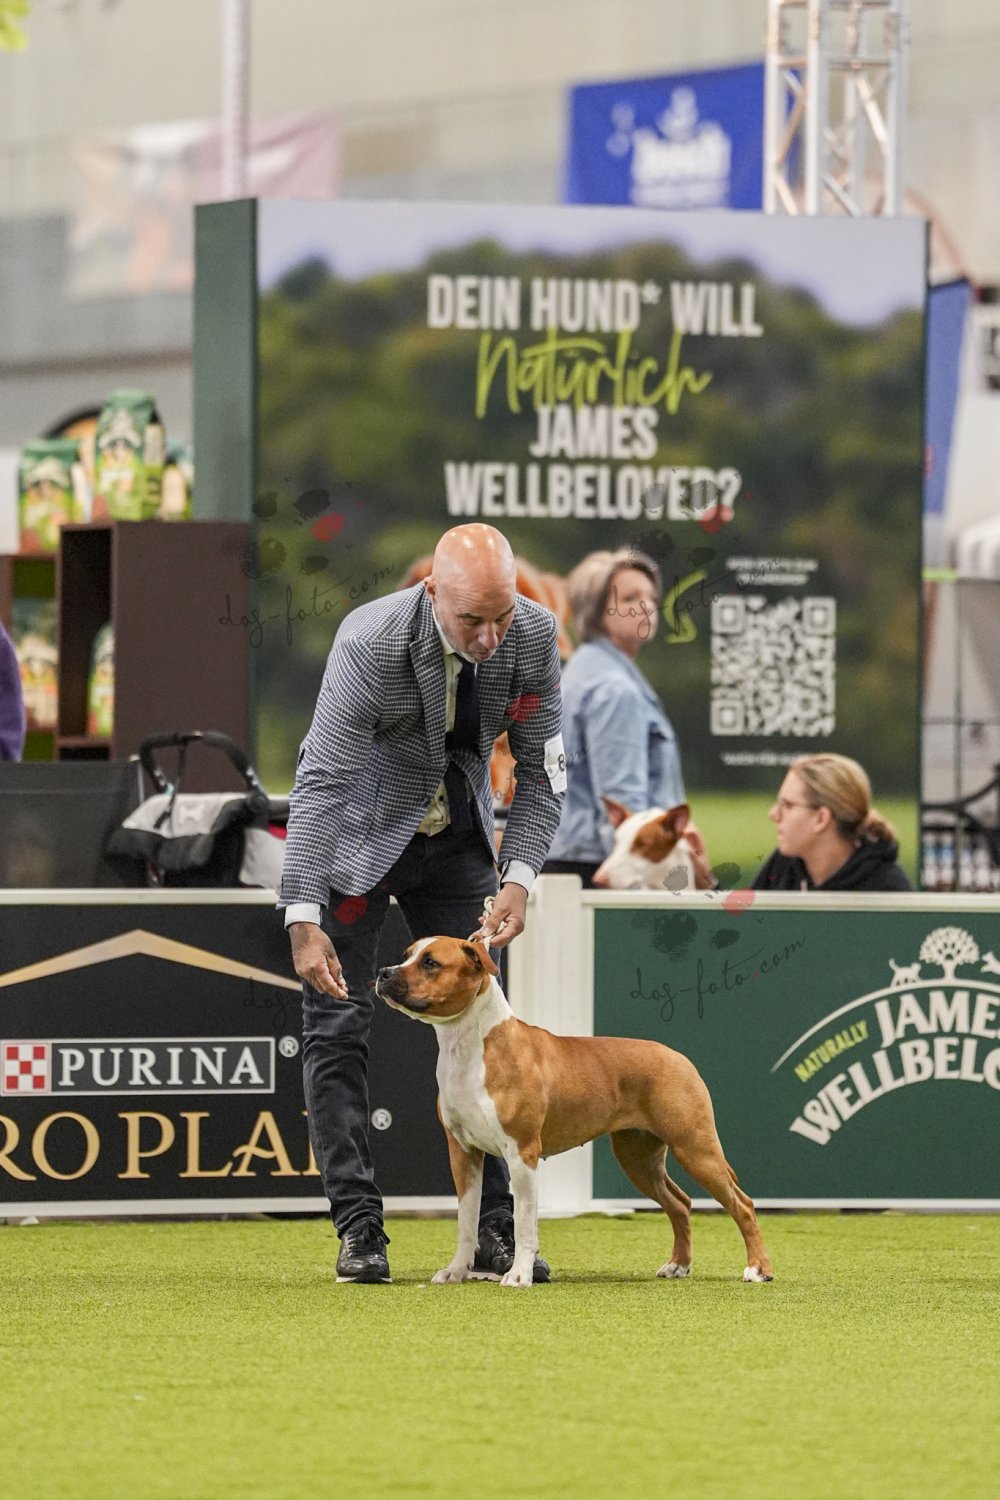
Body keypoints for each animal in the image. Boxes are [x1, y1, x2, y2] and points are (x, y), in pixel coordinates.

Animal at [375, 935, 773, 1289]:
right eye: (407, 954)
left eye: (430, 962)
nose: (382, 972)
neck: (471, 1046)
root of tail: (678, 1057)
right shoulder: (463, 1153)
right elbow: (465, 1221)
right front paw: (456, 1271)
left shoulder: (522, 1153)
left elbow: (524, 1222)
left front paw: (519, 1275)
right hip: (638, 1157)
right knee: (680, 1203)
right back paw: (678, 1265)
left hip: (695, 1147)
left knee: (742, 1204)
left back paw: (758, 1269)